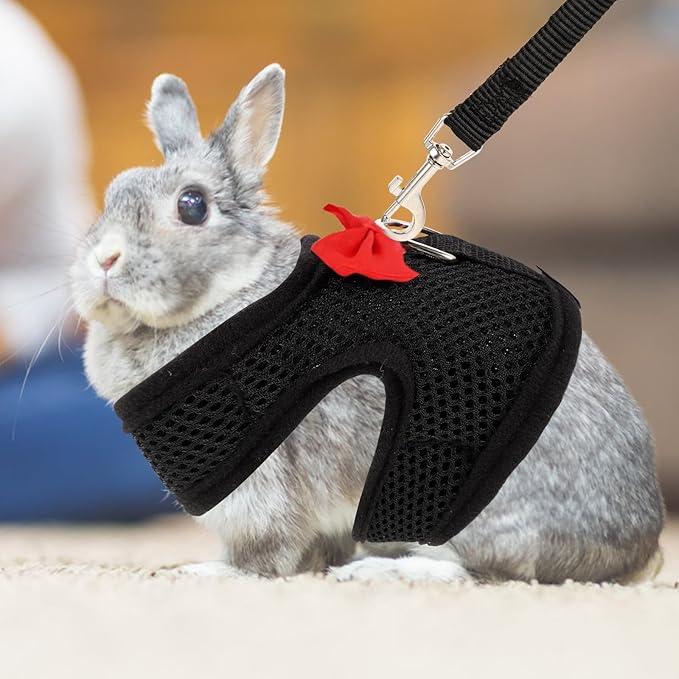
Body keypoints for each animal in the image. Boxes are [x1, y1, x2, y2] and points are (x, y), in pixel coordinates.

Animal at [70, 64, 665, 583]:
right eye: (113, 194)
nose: (102, 260)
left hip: (453, 502)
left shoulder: (260, 481)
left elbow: (265, 557)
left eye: (192, 206)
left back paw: (381, 569)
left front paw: (207, 571)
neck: (234, 289)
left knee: (483, 570)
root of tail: (639, 546)